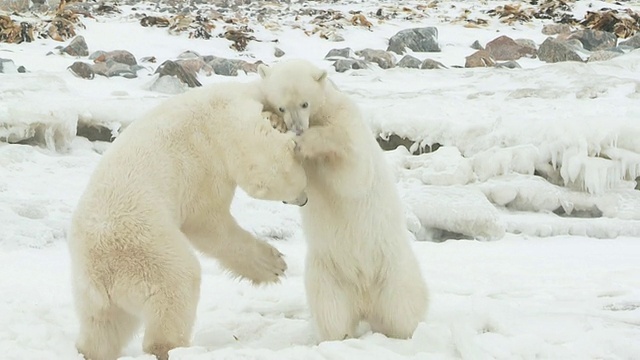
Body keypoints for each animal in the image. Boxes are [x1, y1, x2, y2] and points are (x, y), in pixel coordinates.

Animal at [69, 81, 308, 360]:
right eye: (295, 188)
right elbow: (208, 222)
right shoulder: (209, 156)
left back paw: (90, 350)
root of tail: (102, 274)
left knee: (104, 328)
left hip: (92, 293)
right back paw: (174, 347)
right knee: (178, 285)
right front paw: (274, 264)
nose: (303, 200)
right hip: (149, 252)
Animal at [256, 60, 430, 342]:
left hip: (394, 269)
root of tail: (365, 301)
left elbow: (353, 174)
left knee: (402, 308)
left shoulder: (347, 121)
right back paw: (338, 337)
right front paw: (272, 122)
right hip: (327, 273)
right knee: (331, 312)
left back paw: (405, 333)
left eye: (305, 103)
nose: (297, 128)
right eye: (282, 106)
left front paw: (311, 142)